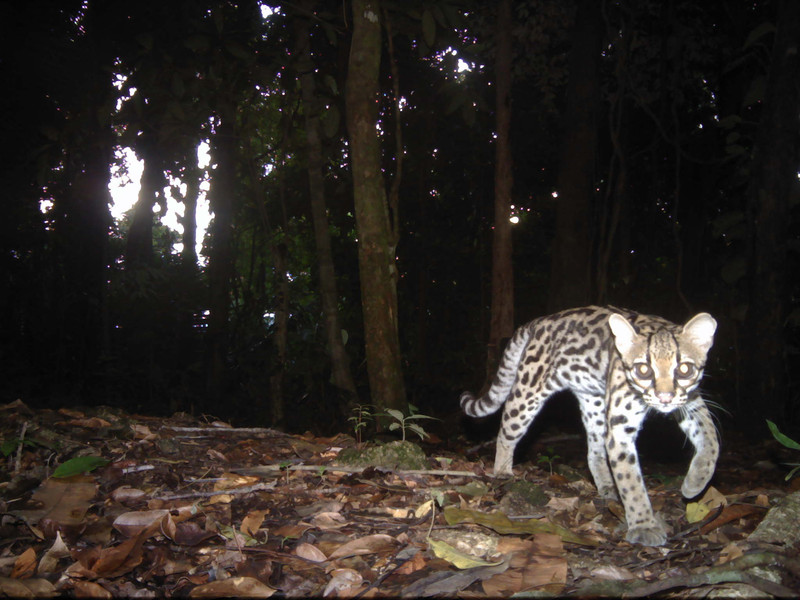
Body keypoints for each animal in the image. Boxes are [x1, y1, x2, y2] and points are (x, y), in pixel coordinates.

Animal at [462, 308, 720, 548]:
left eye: (684, 369)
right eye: (643, 370)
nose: (665, 397)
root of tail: (540, 321)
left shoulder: (691, 402)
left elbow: (711, 439)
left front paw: (695, 482)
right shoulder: (620, 428)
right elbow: (631, 482)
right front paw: (644, 525)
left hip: (593, 403)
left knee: (594, 452)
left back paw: (606, 485)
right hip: (529, 390)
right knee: (506, 430)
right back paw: (502, 470)